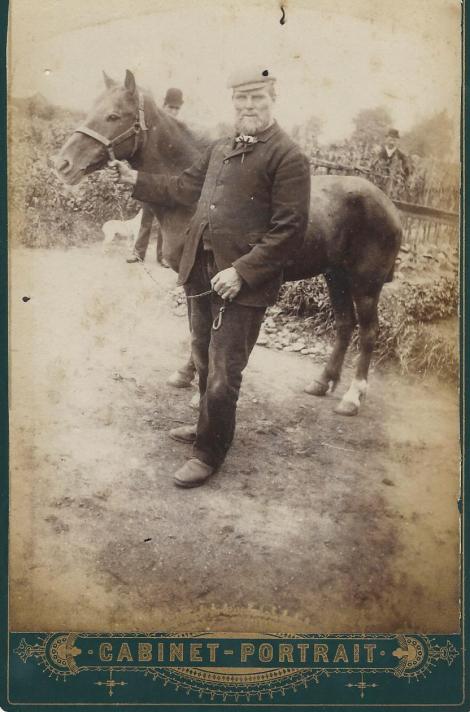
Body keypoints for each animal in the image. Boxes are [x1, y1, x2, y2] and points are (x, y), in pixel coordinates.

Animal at [53, 70, 402, 416]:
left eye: (114, 116)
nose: (62, 165)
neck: (191, 198)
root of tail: (387, 202)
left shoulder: (199, 282)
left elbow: (202, 334)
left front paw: (198, 389)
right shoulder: (194, 281)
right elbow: (196, 329)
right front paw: (186, 375)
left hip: (365, 283)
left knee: (368, 331)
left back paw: (353, 396)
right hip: (335, 275)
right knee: (344, 324)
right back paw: (322, 382)